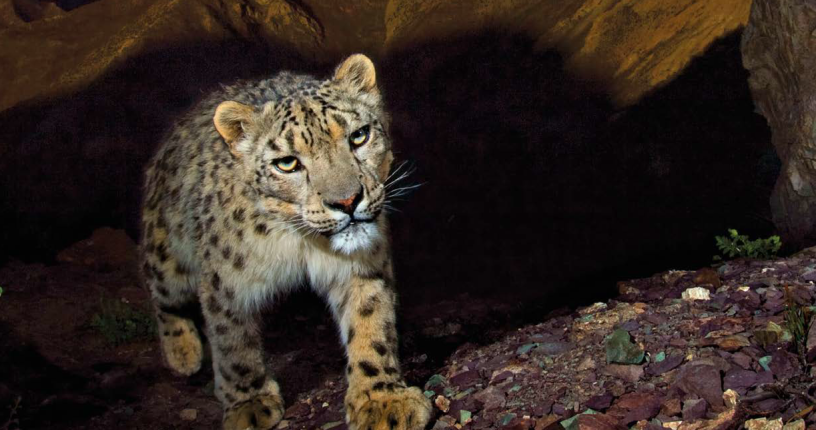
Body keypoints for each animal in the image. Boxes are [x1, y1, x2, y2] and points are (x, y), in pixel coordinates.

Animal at [139, 54, 432, 430]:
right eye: (287, 163)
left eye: (358, 136)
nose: (348, 201)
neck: (303, 245)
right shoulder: (226, 284)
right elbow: (232, 342)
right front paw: (249, 404)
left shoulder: (361, 267)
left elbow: (371, 324)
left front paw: (382, 399)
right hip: (168, 259)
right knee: (161, 293)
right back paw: (183, 353)